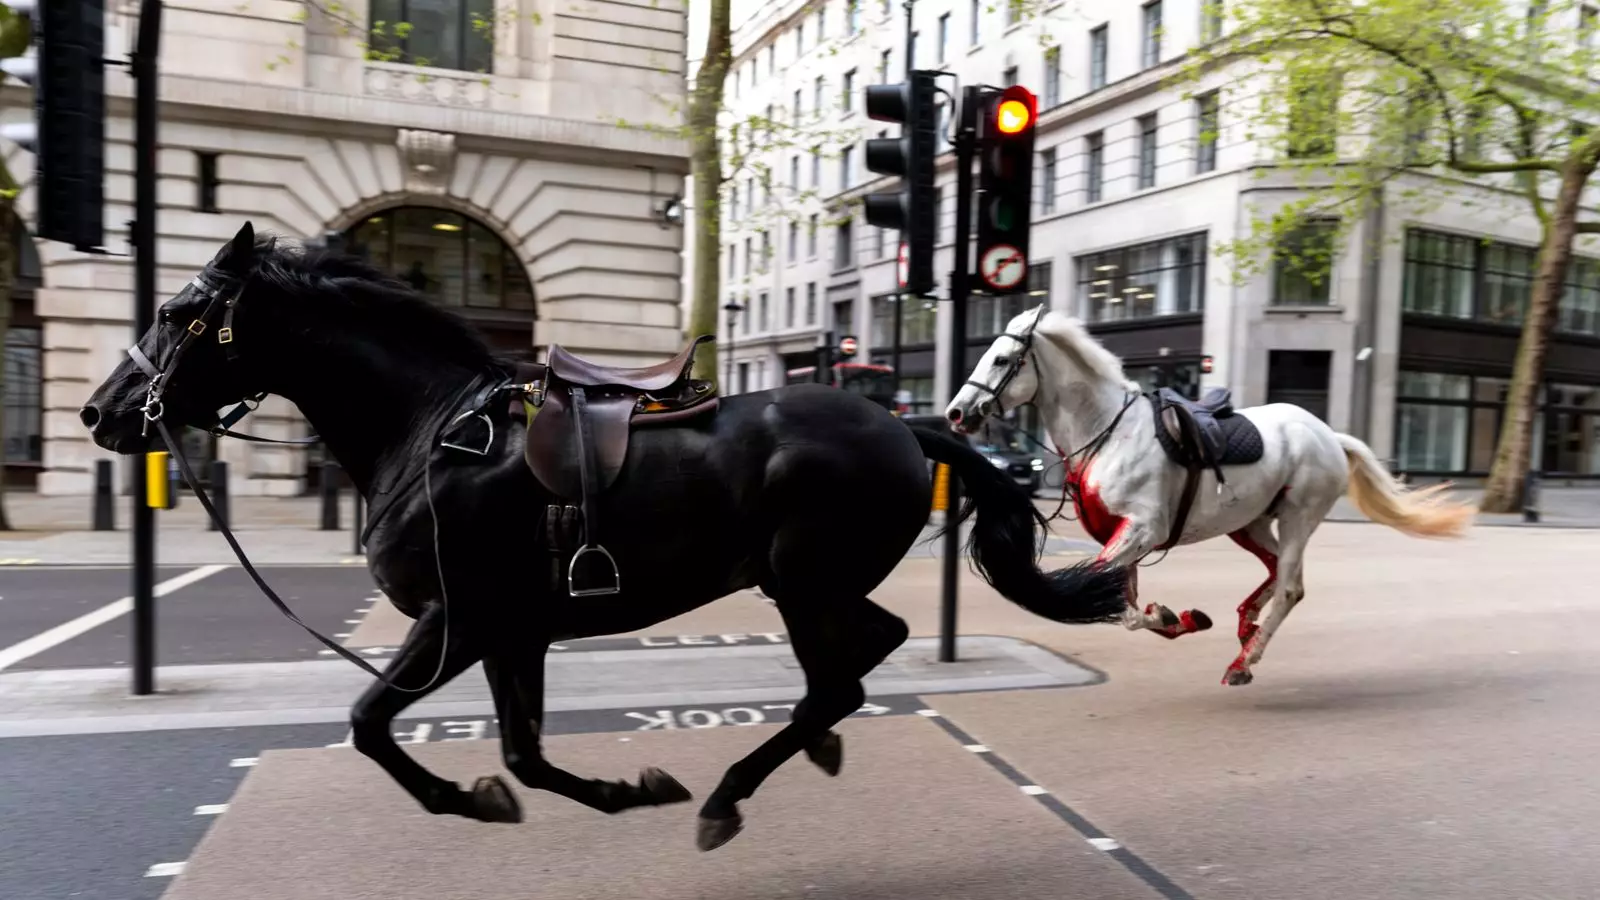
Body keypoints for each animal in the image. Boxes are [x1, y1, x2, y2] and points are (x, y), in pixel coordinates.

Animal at [78, 222, 1126, 845]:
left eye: (176, 311)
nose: (100, 412)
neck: (430, 431)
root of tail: (905, 425)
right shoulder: (512, 632)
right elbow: (522, 754)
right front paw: (612, 791)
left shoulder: (459, 620)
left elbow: (372, 723)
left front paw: (468, 799)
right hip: (806, 583)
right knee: (866, 655)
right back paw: (806, 749)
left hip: (801, 581)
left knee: (843, 675)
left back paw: (731, 793)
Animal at [940, 304, 1478, 682]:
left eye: (1002, 358)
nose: (956, 413)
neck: (1108, 432)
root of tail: (1327, 433)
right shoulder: (1124, 535)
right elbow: (1123, 602)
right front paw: (1176, 617)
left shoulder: (1141, 528)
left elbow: (1104, 596)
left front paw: (1168, 615)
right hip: (1251, 523)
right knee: (1277, 572)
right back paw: (1245, 625)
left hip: (1300, 516)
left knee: (1290, 586)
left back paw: (1244, 661)